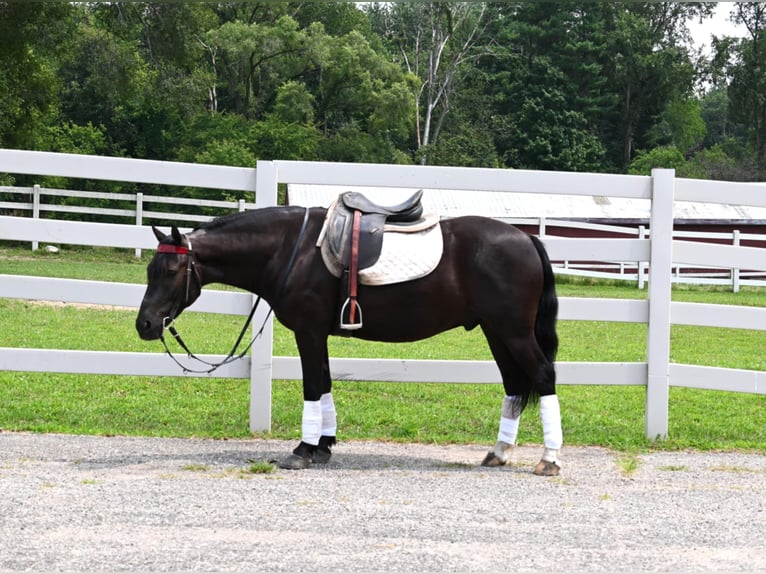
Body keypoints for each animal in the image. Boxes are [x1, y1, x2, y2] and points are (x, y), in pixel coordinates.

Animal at [135, 200, 560, 474]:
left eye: (170, 270)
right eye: (150, 269)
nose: (145, 325)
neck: (292, 250)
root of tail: (526, 238)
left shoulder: (308, 332)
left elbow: (311, 386)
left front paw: (303, 450)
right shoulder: (317, 334)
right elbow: (324, 385)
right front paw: (324, 446)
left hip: (514, 332)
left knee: (542, 376)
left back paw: (549, 459)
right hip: (496, 332)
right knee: (514, 385)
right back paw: (499, 452)